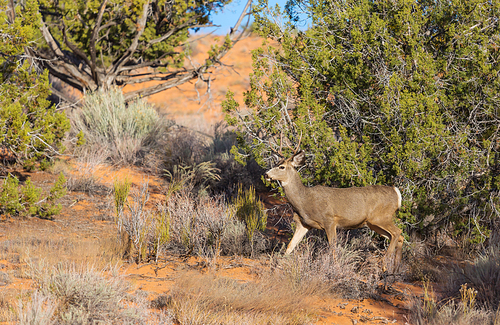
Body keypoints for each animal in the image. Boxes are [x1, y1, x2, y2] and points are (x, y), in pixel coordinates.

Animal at [266, 147, 402, 270]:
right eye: (276, 164)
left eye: (282, 167)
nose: (266, 174)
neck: (304, 201)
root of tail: (397, 193)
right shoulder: (303, 224)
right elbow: (290, 245)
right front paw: (277, 267)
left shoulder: (330, 220)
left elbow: (333, 247)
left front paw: (335, 267)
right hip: (372, 223)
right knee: (397, 237)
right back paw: (395, 269)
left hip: (381, 217)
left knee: (397, 232)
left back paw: (384, 266)